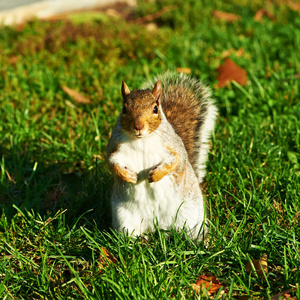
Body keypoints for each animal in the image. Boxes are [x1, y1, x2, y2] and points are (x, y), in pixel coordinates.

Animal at [106, 71, 217, 241]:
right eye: (124, 109)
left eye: (155, 109)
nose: (138, 126)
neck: (141, 140)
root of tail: (158, 227)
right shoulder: (115, 148)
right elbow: (112, 163)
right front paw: (127, 176)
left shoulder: (172, 146)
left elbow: (177, 161)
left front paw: (156, 175)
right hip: (125, 219)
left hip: (190, 216)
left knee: (193, 232)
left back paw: (201, 242)